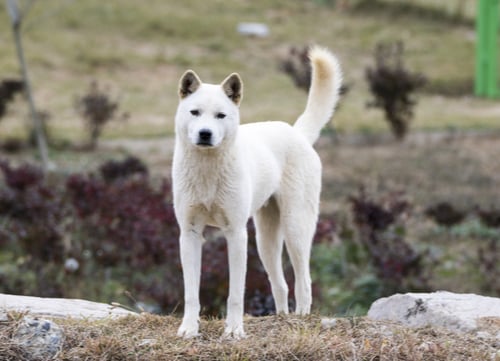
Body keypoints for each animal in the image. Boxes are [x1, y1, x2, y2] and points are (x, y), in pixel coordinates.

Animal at [171, 45, 340, 338]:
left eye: (220, 116)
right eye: (194, 112)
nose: (205, 134)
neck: (207, 171)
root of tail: (296, 132)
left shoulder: (237, 234)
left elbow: (235, 294)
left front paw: (234, 331)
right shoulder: (190, 234)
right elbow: (191, 292)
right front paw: (189, 329)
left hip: (295, 229)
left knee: (304, 281)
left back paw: (300, 318)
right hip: (265, 240)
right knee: (281, 284)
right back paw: (282, 317)